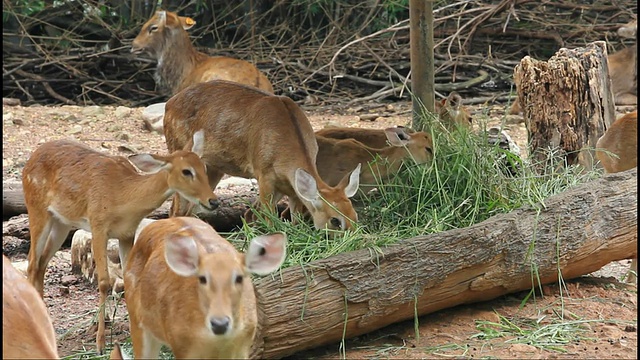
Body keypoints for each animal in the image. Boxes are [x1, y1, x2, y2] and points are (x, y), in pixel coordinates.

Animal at [21, 130, 218, 354]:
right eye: (186, 171)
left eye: (203, 167)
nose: (213, 201)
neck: (123, 197)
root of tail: (30, 160)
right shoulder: (98, 225)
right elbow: (104, 282)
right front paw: (100, 343)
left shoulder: (127, 233)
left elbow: (129, 277)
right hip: (36, 208)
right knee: (32, 262)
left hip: (61, 222)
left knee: (41, 263)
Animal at [122, 215, 284, 358]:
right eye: (202, 278)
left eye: (238, 278)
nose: (219, 323)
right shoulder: (181, 344)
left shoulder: (243, 345)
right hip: (136, 318)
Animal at [162, 80, 362, 232]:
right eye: (335, 220)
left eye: (355, 215)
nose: (353, 236)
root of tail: (168, 105)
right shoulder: (263, 173)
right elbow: (267, 216)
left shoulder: (289, 188)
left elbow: (286, 217)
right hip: (177, 149)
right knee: (176, 210)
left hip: (213, 167)